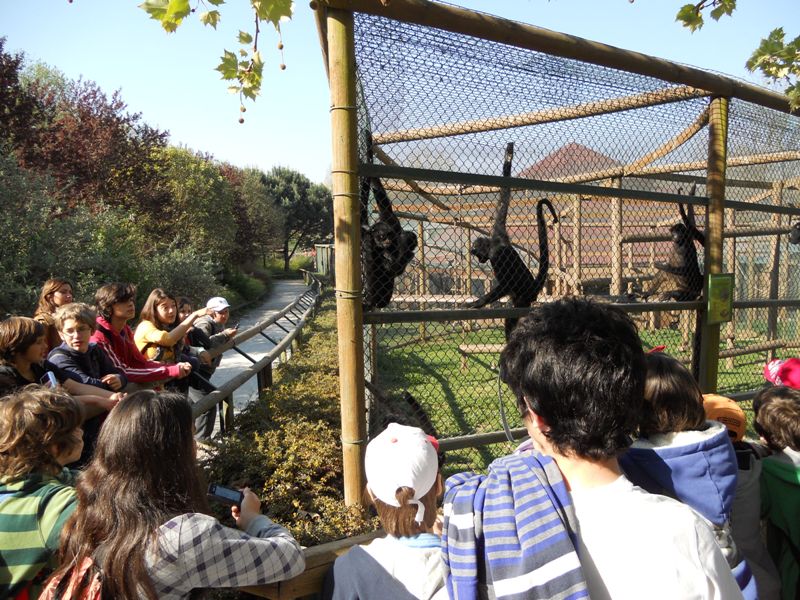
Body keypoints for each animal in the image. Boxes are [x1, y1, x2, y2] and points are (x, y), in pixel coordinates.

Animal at [468, 139, 556, 338]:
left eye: (476, 253)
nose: (479, 259)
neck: (495, 244)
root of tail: (532, 287)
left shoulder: (497, 255)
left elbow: (505, 283)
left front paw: (476, 303)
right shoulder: (499, 230)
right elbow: (503, 200)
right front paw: (508, 157)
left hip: (523, 298)